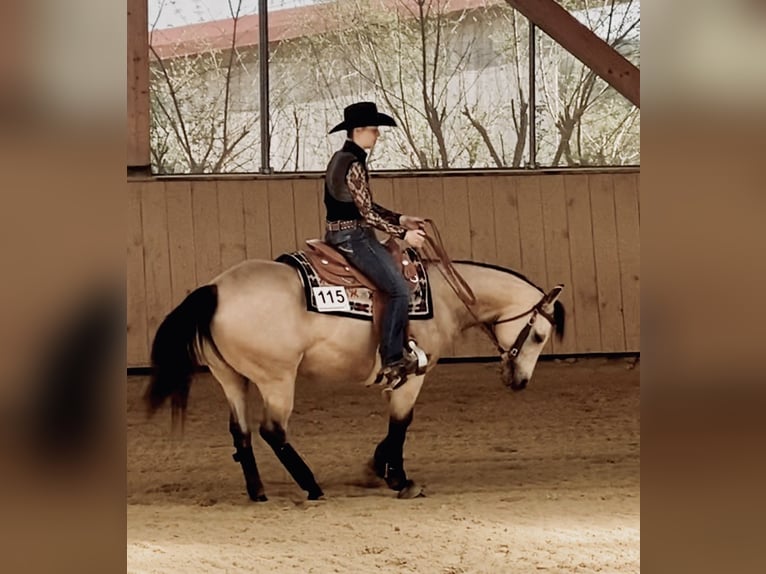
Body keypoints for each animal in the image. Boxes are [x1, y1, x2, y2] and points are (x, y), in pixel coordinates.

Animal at [146, 225, 564, 504]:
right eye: (539, 336)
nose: (520, 381)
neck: (443, 297)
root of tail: (214, 289)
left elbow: (395, 426)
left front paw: (377, 469)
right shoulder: (413, 375)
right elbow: (401, 425)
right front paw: (401, 480)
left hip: (231, 378)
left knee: (242, 433)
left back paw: (258, 492)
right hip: (276, 379)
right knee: (272, 431)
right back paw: (311, 485)